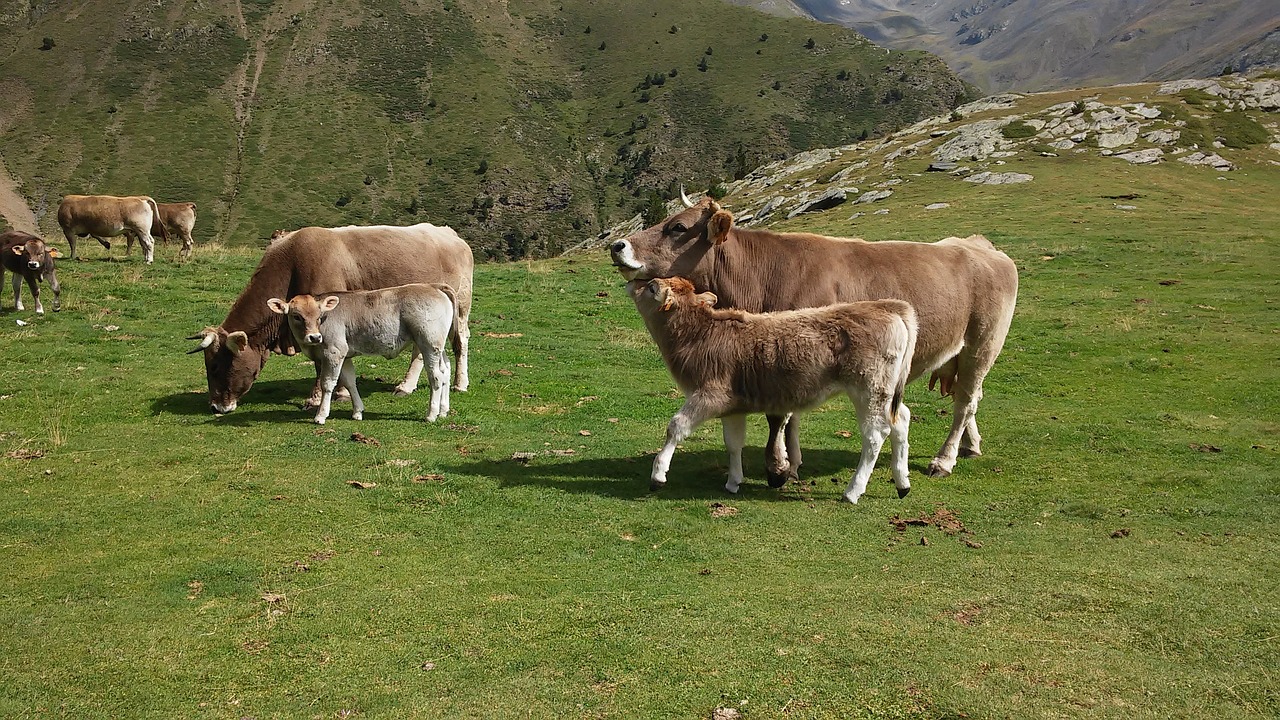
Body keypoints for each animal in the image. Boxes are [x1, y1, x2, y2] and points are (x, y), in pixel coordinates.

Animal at [264, 281, 460, 425]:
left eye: (319, 316)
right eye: (296, 316)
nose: (314, 337)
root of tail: (433, 285)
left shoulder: (334, 351)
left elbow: (328, 384)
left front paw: (321, 415)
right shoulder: (345, 355)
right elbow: (350, 382)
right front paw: (357, 411)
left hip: (428, 344)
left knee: (436, 377)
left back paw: (431, 414)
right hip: (439, 347)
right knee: (445, 371)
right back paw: (443, 410)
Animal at [624, 278, 916, 502]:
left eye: (651, 287)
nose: (631, 283)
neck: (700, 335)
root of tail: (889, 306)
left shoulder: (709, 394)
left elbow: (676, 426)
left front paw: (658, 474)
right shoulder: (731, 405)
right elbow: (733, 442)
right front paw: (733, 481)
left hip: (869, 388)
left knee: (875, 435)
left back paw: (853, 490)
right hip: (885, 393)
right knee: (901, 420)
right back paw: (902, 483)